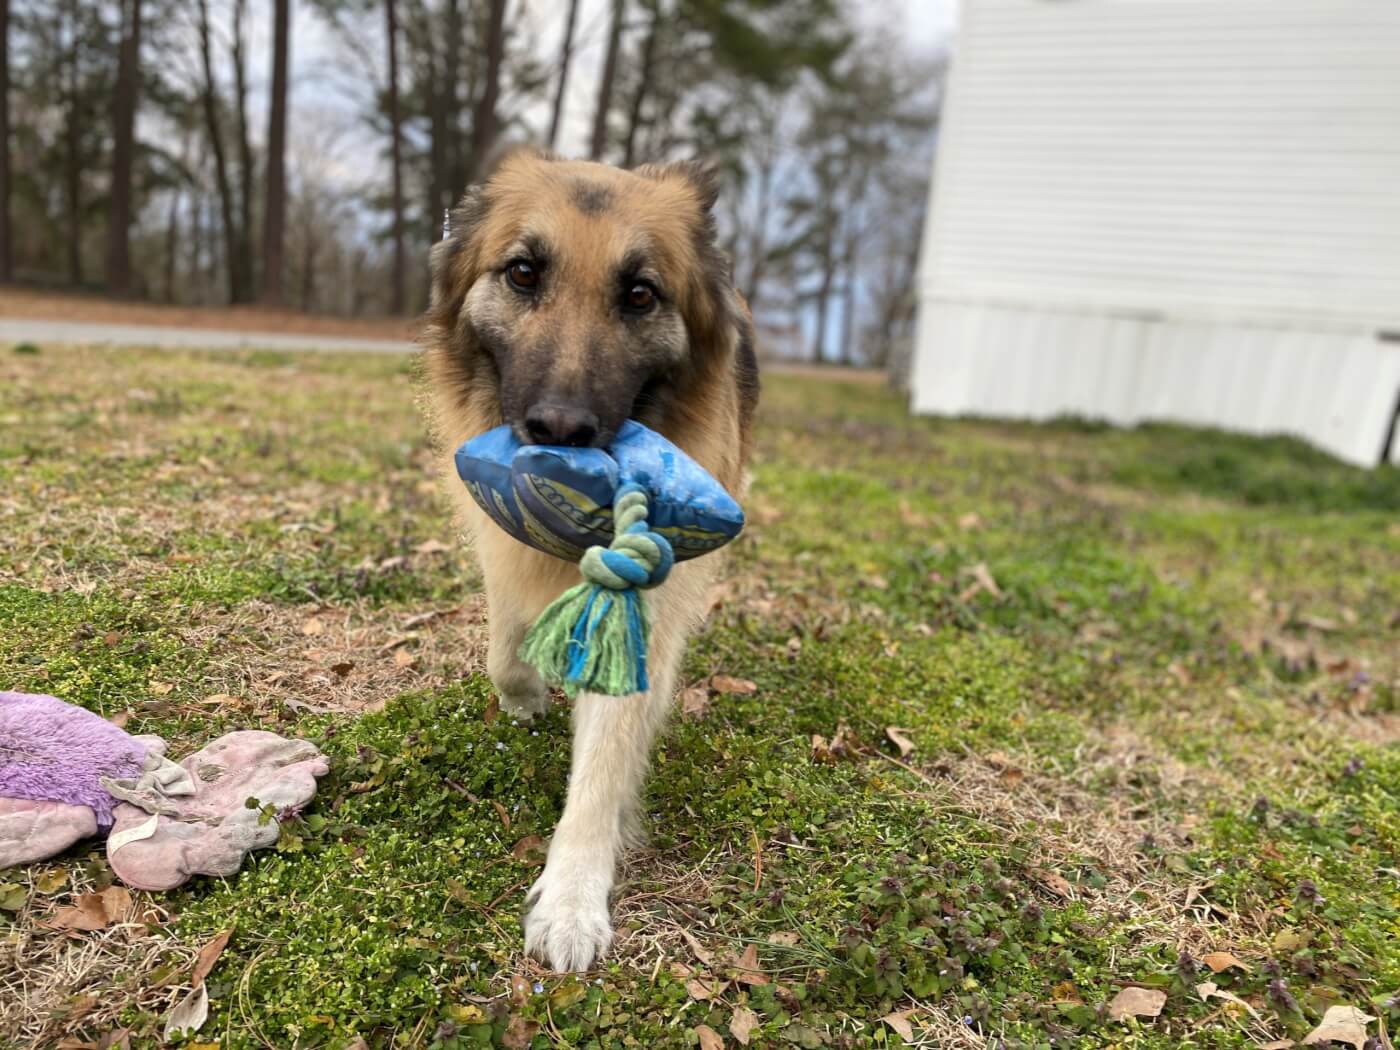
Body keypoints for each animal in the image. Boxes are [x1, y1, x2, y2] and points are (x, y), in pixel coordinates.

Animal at [420, 146, 761, 968]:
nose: (559, 431)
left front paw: (573, 897)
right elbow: (506, 644)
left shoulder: (647, 595)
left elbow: (605, 756)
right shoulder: (501, 546)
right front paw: (523, 696)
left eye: (639, 294)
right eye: (522, 273)